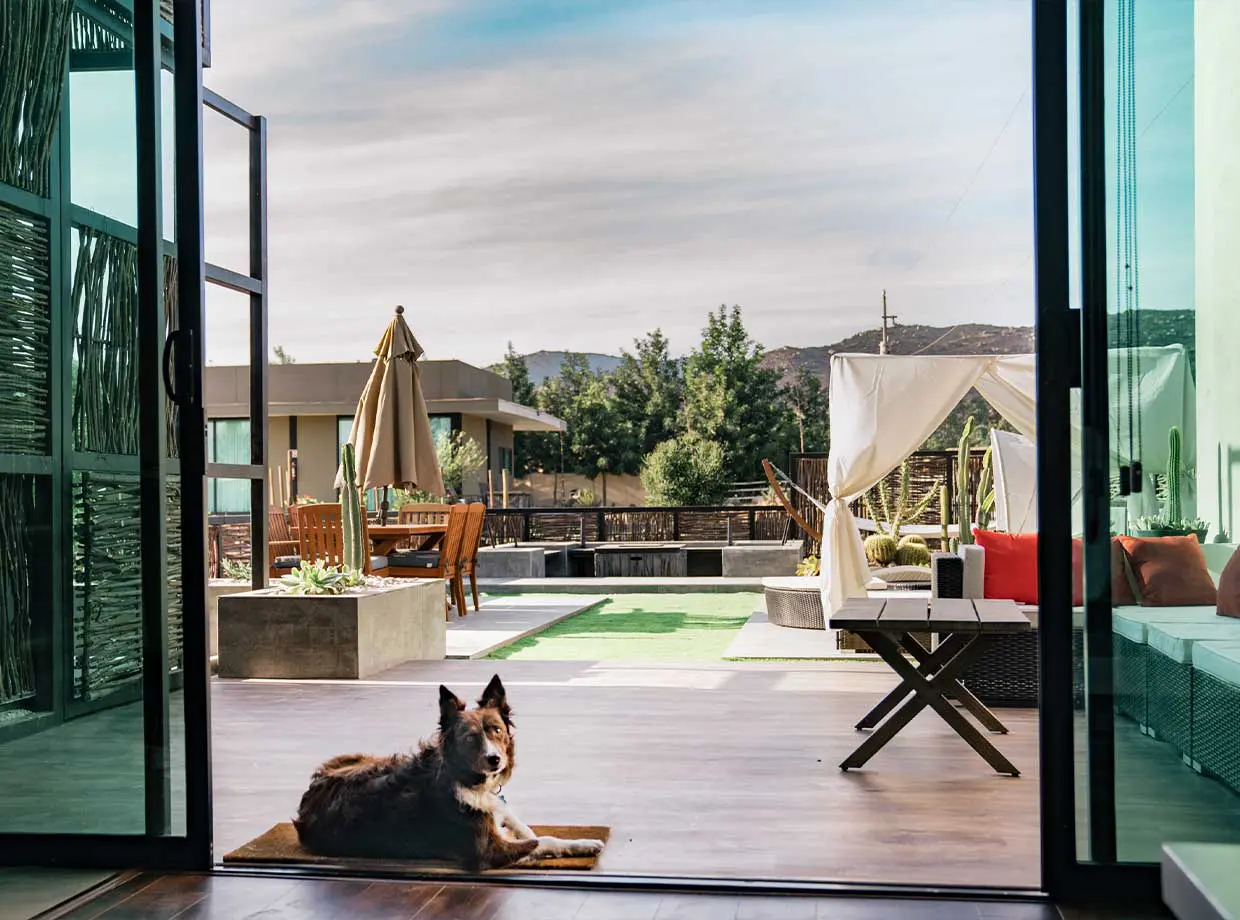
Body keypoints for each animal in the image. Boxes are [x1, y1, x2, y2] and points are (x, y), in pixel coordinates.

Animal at [290, 674, 600, 867]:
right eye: (469, 738)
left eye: (497, 730)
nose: (495, 760)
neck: (466, 778)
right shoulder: (488, 851)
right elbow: (539, 840)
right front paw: (587, 844)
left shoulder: (498, 809)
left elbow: (524, 826)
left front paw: (582, 842)